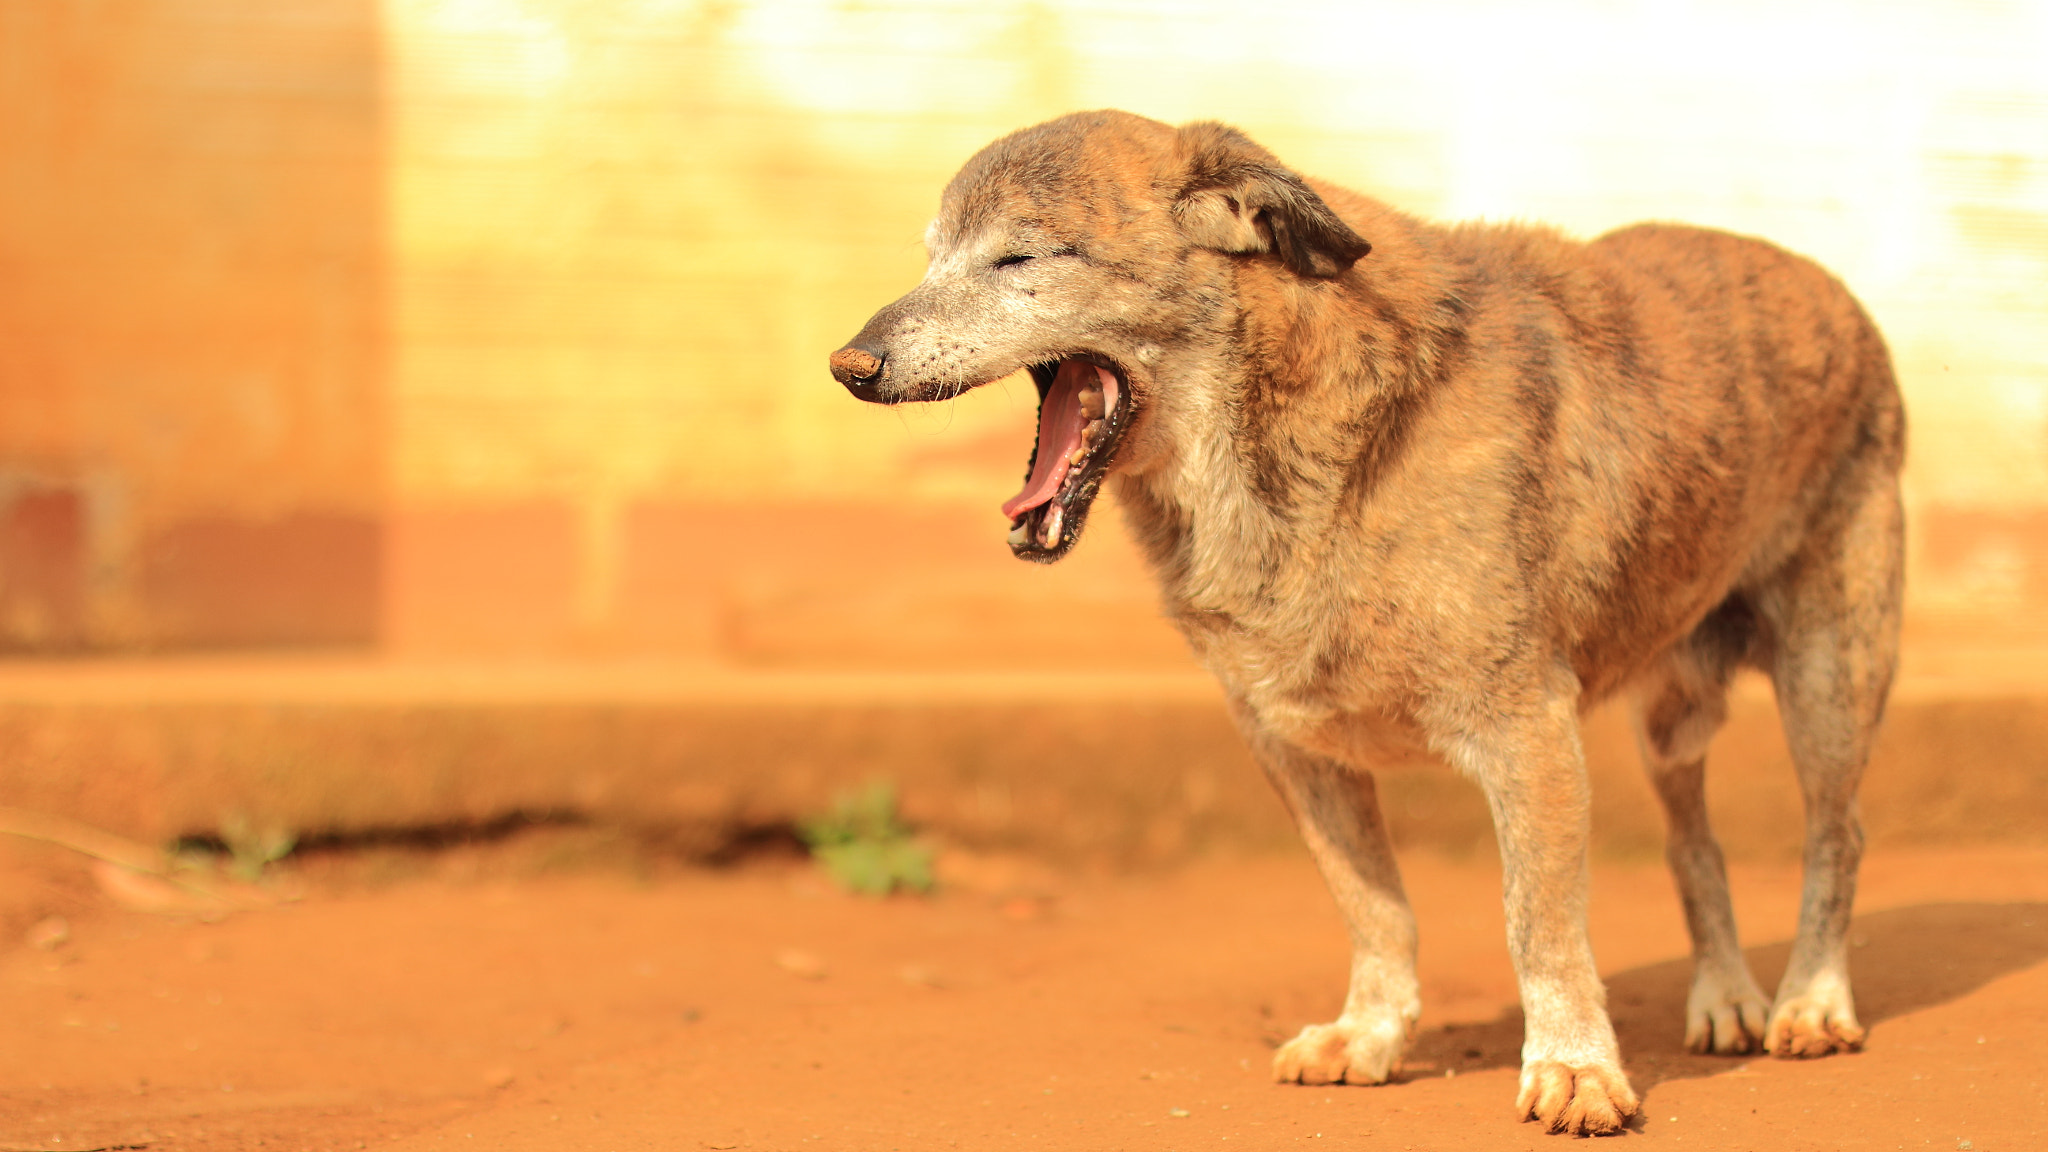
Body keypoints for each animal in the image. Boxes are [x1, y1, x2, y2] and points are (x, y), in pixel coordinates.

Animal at [827, 112, 1900, 1131]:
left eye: (1021, 258)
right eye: (930, 255)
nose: (849, 362)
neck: (1299, 447)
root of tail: (1834, 288)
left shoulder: (1528, 732)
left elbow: (1539, 924)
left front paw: (1575, 1071)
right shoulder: (1295, 748)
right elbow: (1376, 909)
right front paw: (1372, 1035)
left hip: (1828, 686)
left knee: (1838, 838)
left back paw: (1811, 1003)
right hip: (1670, 721)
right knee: (1694, 844)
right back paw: (1726, 995)